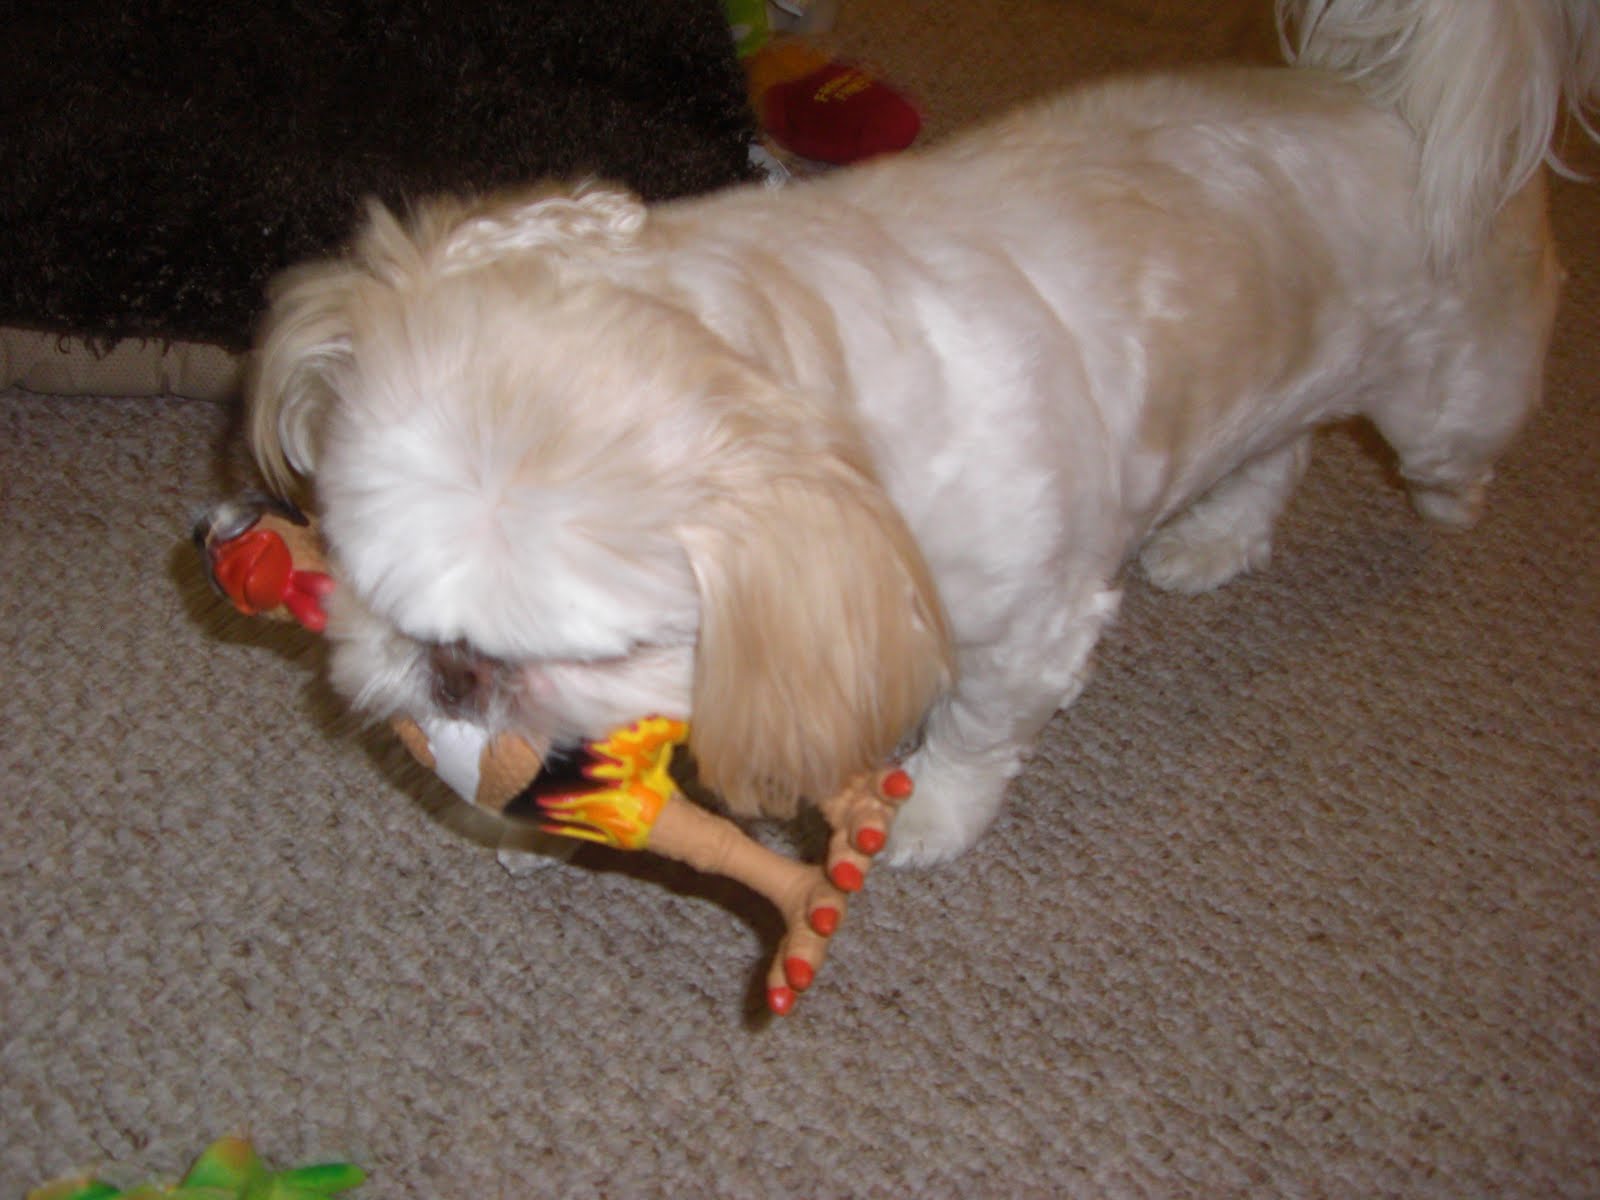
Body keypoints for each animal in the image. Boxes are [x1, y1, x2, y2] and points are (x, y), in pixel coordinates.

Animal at [247, 0, 1600, 866]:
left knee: (1437, 452)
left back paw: (1454, 502)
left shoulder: (1029, 629)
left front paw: (927, 823)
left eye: (604, 649)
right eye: (375, 589)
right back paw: (1216, 543)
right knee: (1282, 449)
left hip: (1446, 404)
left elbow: (974, 737)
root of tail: (1395, 103)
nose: (451, 674)